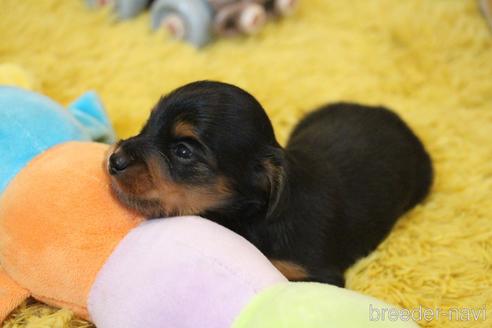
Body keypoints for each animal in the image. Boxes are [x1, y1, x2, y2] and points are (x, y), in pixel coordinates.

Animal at [106, 80, 430, 286]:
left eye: (183, 151)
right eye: (146, 125)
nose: (114, 160)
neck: (251, 215)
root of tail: (389, 114)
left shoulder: (318, 275)